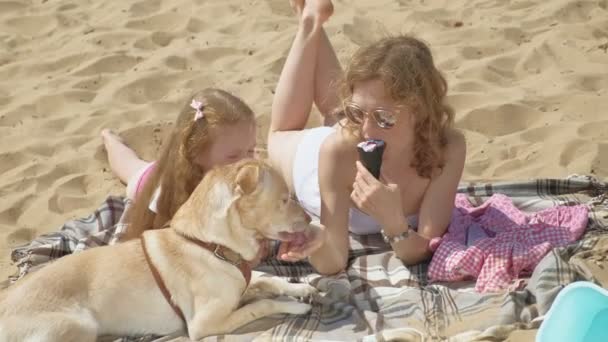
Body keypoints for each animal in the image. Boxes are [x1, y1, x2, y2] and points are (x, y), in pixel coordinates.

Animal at [0, 159, 320, 340]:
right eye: (284, 199)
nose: (310, 219)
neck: (210, 245)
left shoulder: (241, 285)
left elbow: (267, 280)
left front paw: (299, 288)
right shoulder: (204, 323)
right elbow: (262, 303)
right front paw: (295, 305)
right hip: (77, 327)